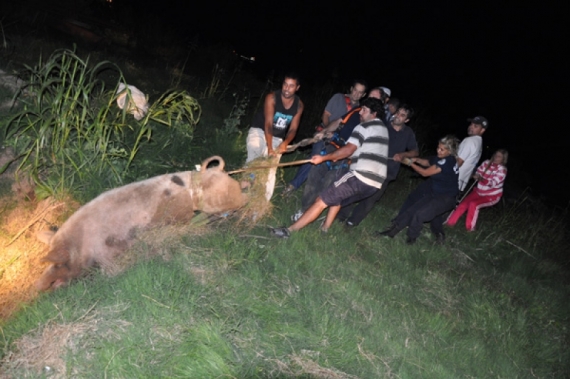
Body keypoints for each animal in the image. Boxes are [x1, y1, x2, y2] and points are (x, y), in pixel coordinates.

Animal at [35, 156, 246, 292]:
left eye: (58, 264)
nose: (39, 285)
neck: (80, 244)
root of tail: (218, 171)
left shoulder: (103, 251)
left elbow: (108, 270)